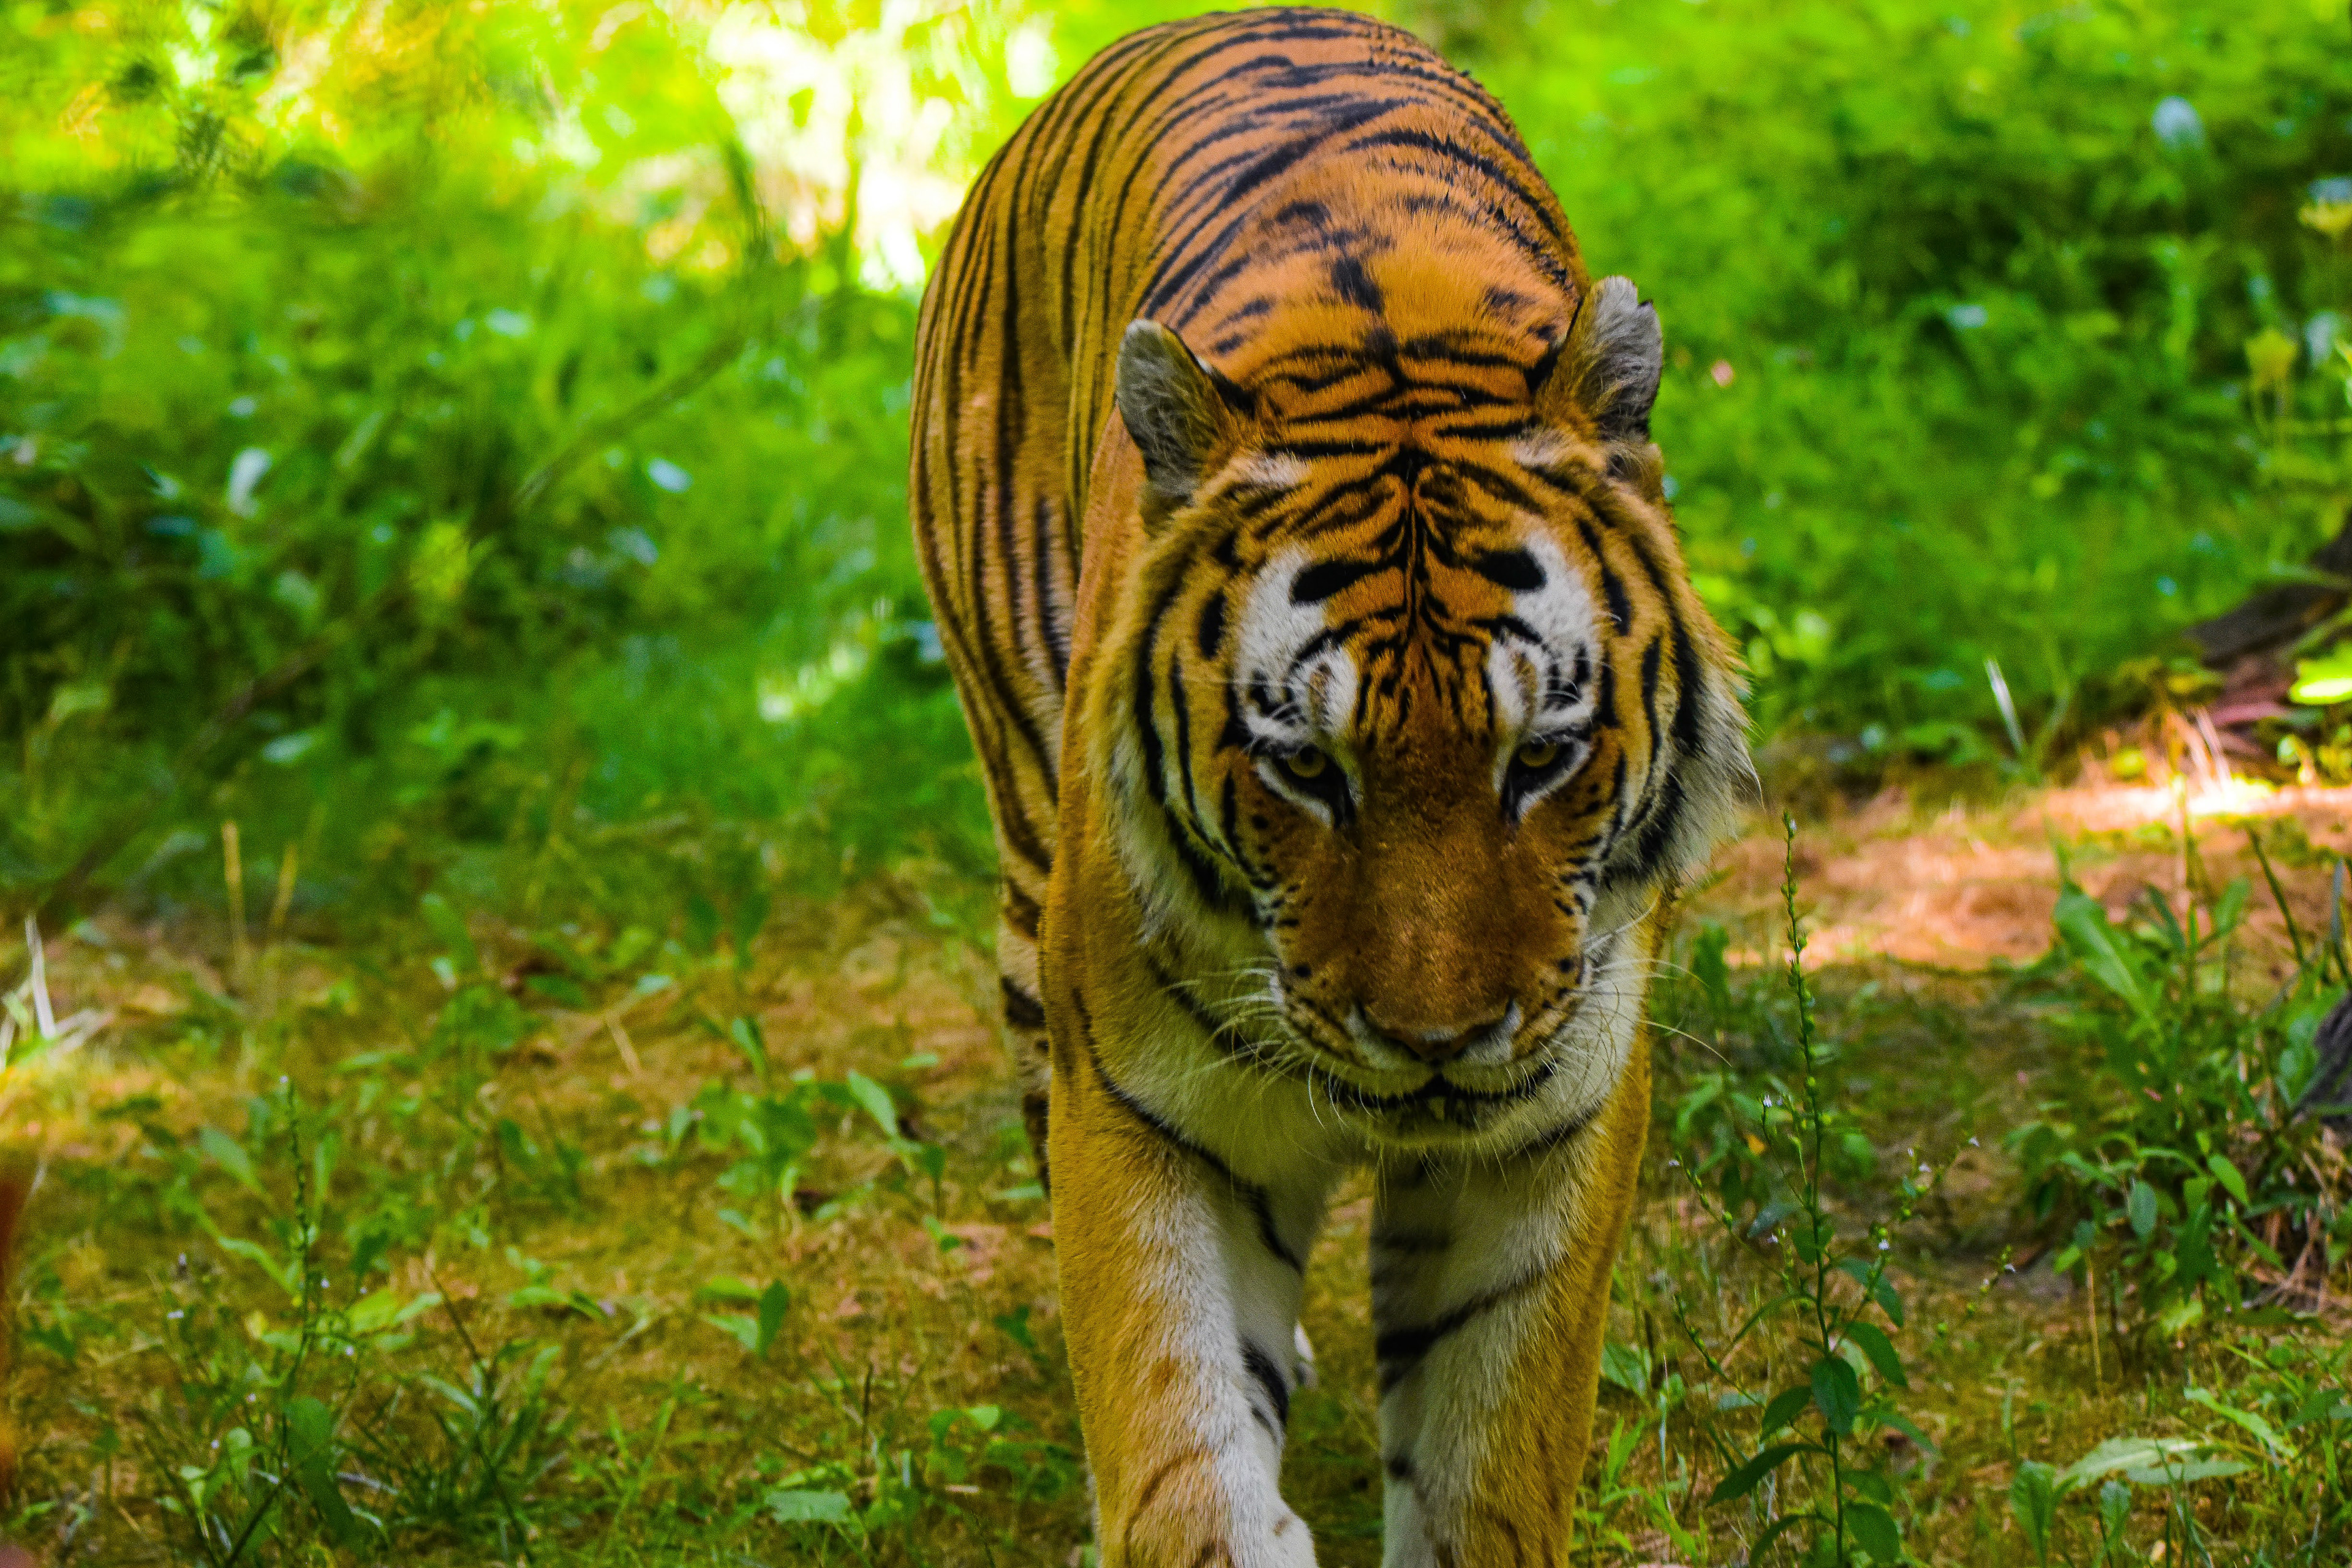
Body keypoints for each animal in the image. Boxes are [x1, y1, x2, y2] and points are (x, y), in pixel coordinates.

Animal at [909, 9, 1750, 1564]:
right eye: (1305, 768)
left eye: (1539, 756)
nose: (1434, 1041)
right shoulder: (1139, 1110)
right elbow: (1182, 1450)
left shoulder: (1561, 1118)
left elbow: (1490, 1454)